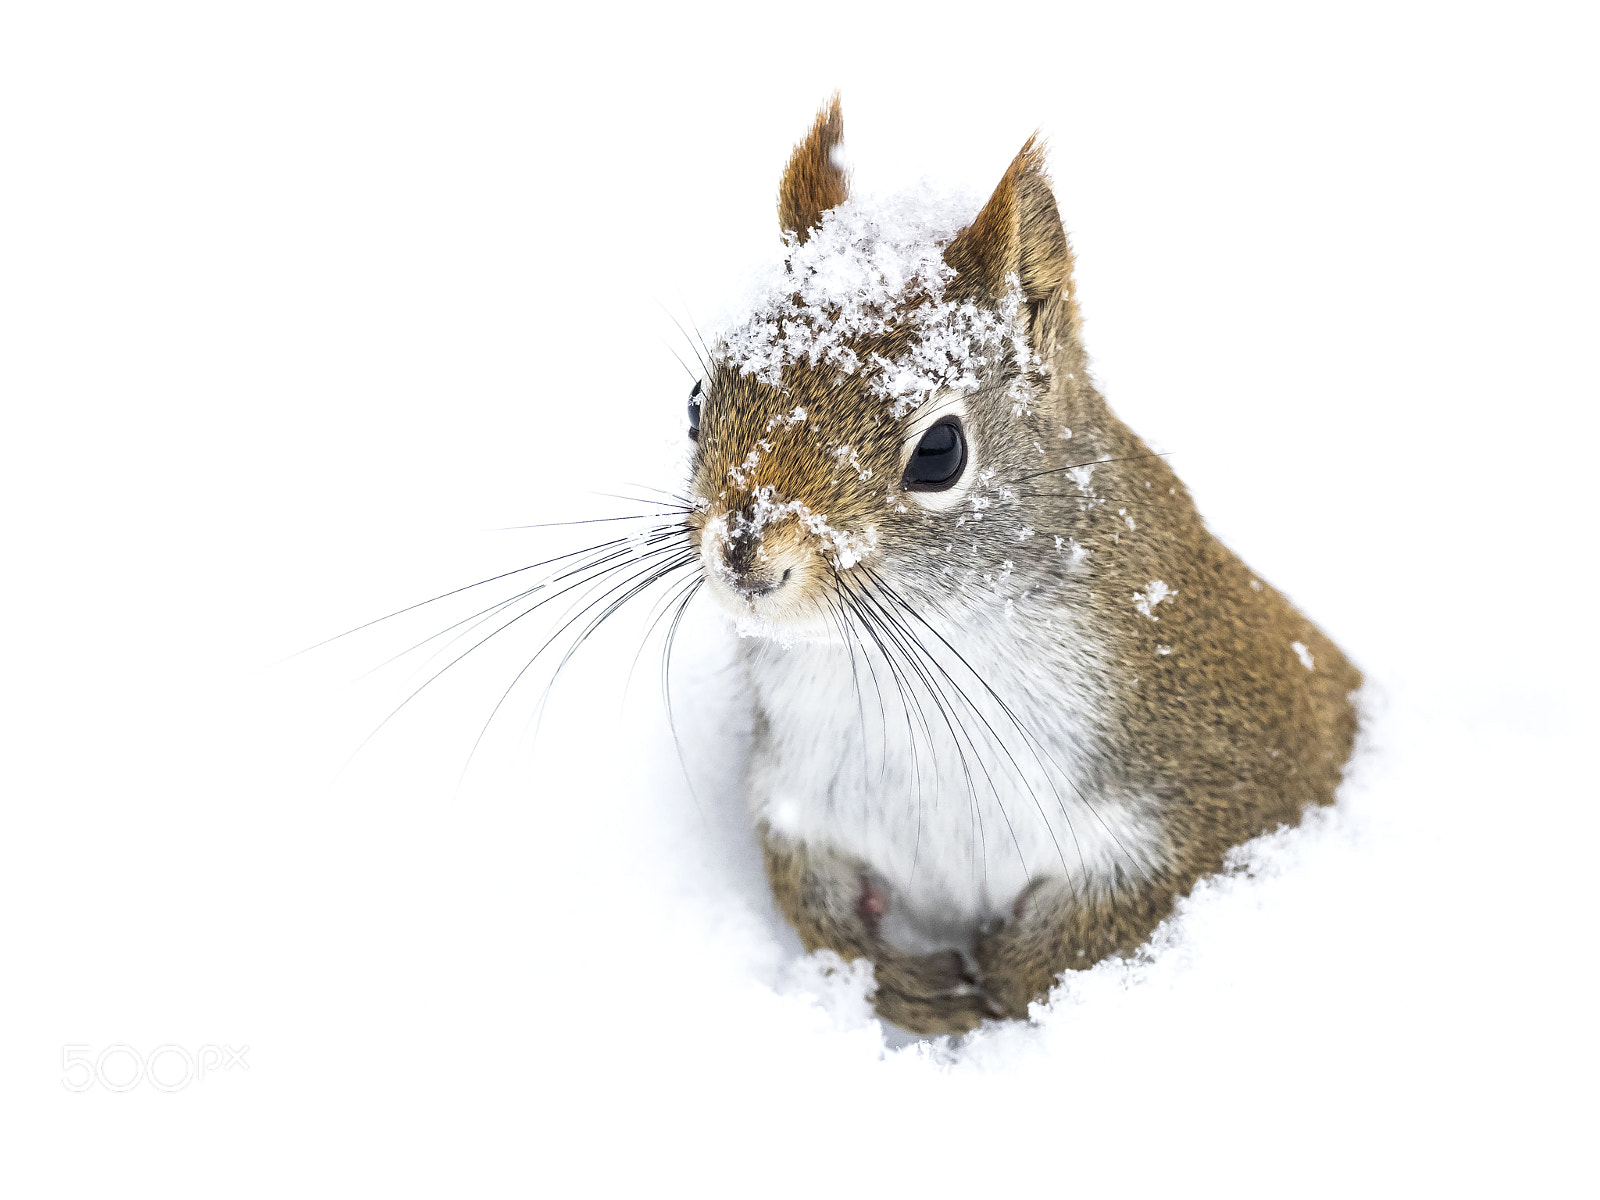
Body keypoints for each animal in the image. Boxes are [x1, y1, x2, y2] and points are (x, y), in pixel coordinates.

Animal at [682, 95, 1361, 1035]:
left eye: (939, 452)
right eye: (696, 404)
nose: (745, 553)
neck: (913, 665)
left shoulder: (1216, 789)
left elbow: (1107, 923)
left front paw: (1003, 983)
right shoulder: (796, 797)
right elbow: (810, 903)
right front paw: (904, 986)